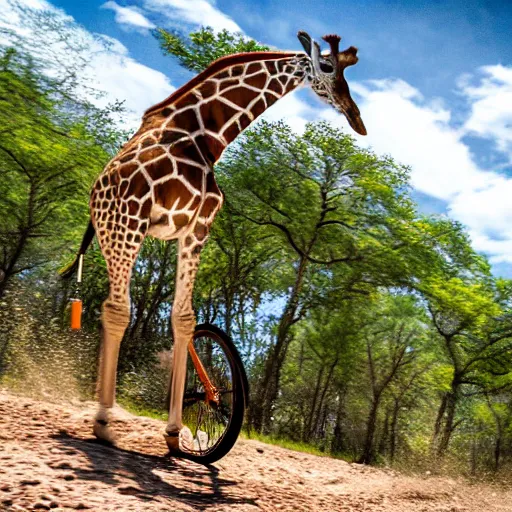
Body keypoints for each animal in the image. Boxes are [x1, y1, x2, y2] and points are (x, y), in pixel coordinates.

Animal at [61, 29, 364, 452]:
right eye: (327, 66)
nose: (356, 117)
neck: (206, 131)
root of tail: (95, 195)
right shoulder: (158, 220)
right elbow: (140, 314)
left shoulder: (196, 226)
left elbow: (184, 320)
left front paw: (176, 431)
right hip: (121, 227)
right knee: (115, 310)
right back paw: (103, 422)